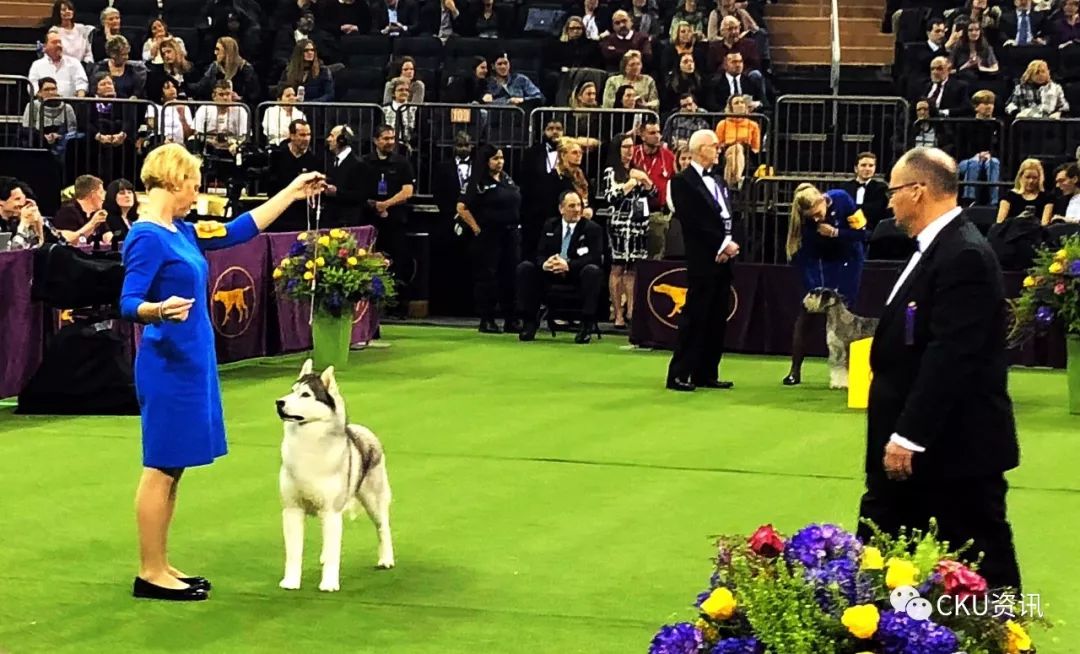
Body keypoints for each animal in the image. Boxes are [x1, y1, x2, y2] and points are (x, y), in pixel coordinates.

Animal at [276, 358, 395, 595]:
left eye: (305, 395)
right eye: (292, 391)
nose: (279, 402)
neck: (307, 445)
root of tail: (363, 431)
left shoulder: (331, 511)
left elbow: (333, 551)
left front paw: (329, 583)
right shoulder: (292, 509)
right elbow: (293, 552)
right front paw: (291, 581)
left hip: (373, 500)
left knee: (383, 527)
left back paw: (386, 559)